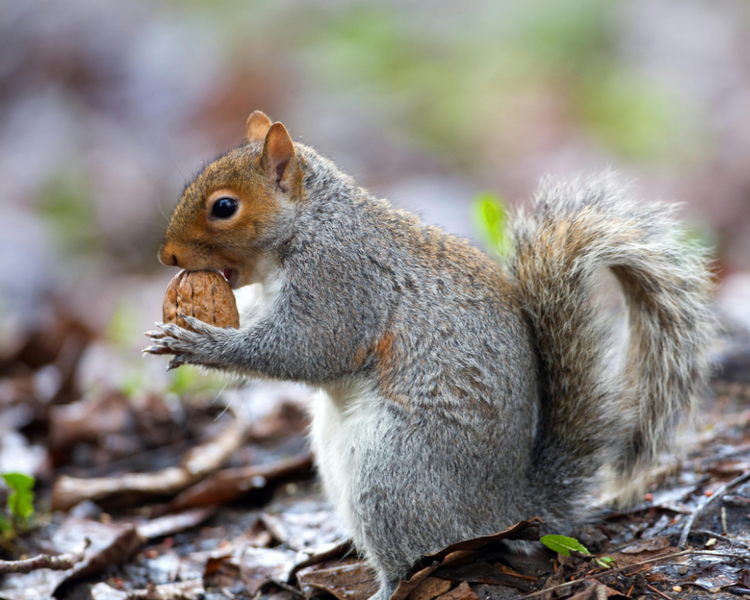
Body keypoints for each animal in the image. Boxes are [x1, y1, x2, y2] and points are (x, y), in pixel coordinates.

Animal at [145, 111, 713, 600]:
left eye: (224, 207)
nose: (167, 257)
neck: (314, 222)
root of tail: (507, 506)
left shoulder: (340, 278)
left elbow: (309, 350)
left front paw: (199, 343)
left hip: (393, 472)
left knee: (414, 555)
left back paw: (385, 587)